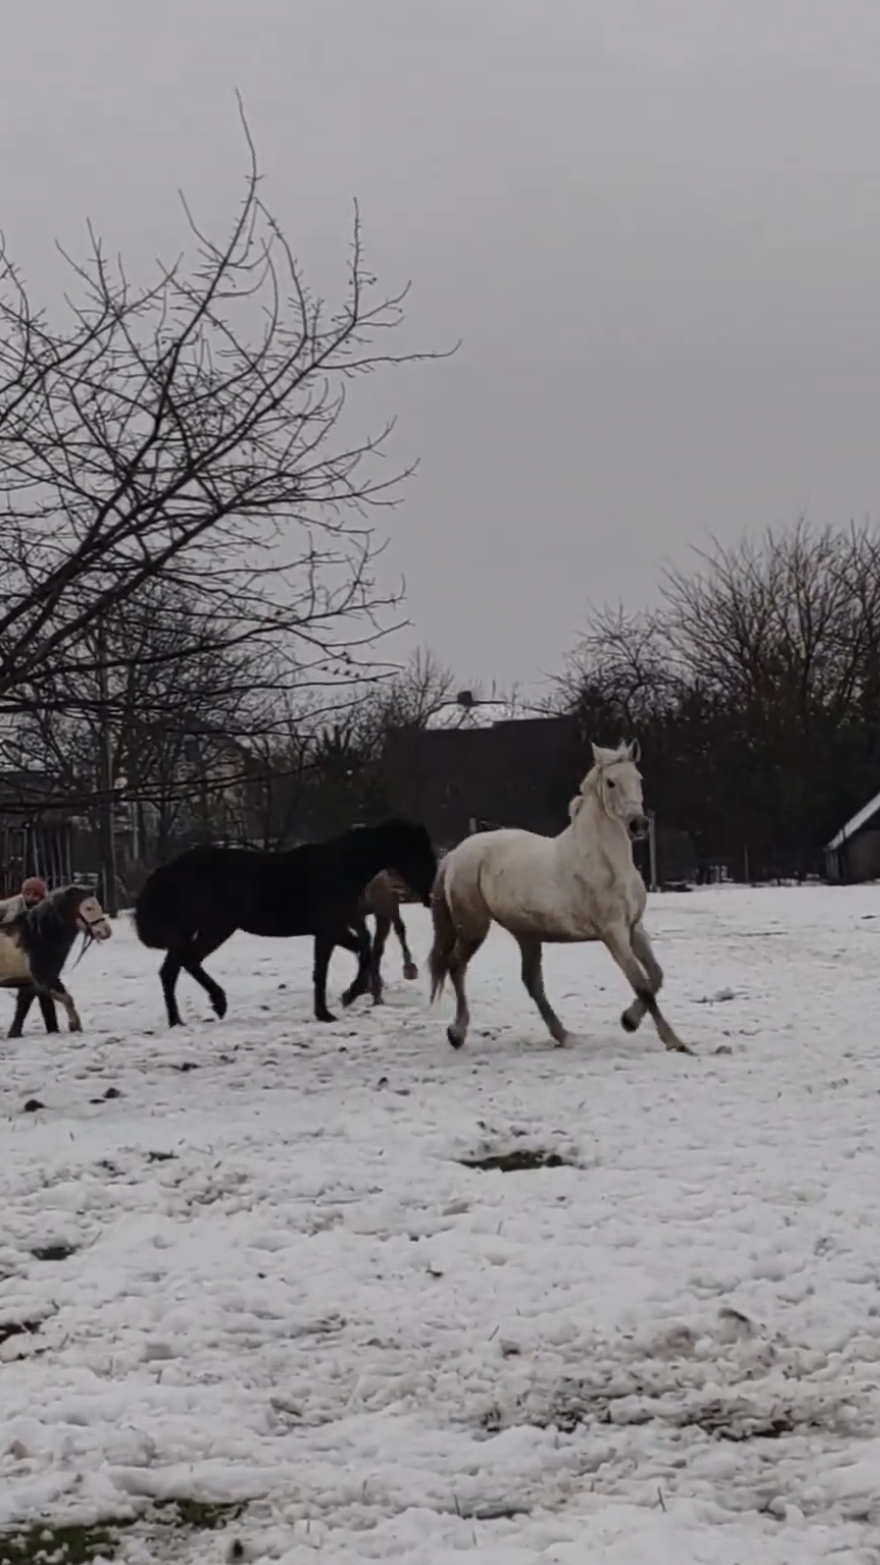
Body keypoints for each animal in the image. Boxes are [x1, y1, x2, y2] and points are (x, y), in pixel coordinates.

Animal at [0, 885, 113, 1038]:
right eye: (88, 908)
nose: (106, 931)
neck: (35, 936)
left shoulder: (39, 981)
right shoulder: (44, 979)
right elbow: (64, 998)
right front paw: (74, 1025)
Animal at [428, 741, 690, 1054]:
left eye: (638, 778)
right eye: (611, 782)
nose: (638, 825)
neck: (604, 861)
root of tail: (456, 854)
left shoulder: (633, 928)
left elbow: (655, 978)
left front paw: (630, 1020)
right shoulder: (612, 933)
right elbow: (641, 984)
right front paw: (672, 1040)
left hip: (526, 934)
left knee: (532, 983)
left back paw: (564, 1035)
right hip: (473, 928)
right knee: (456, 965)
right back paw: (457, 1032)